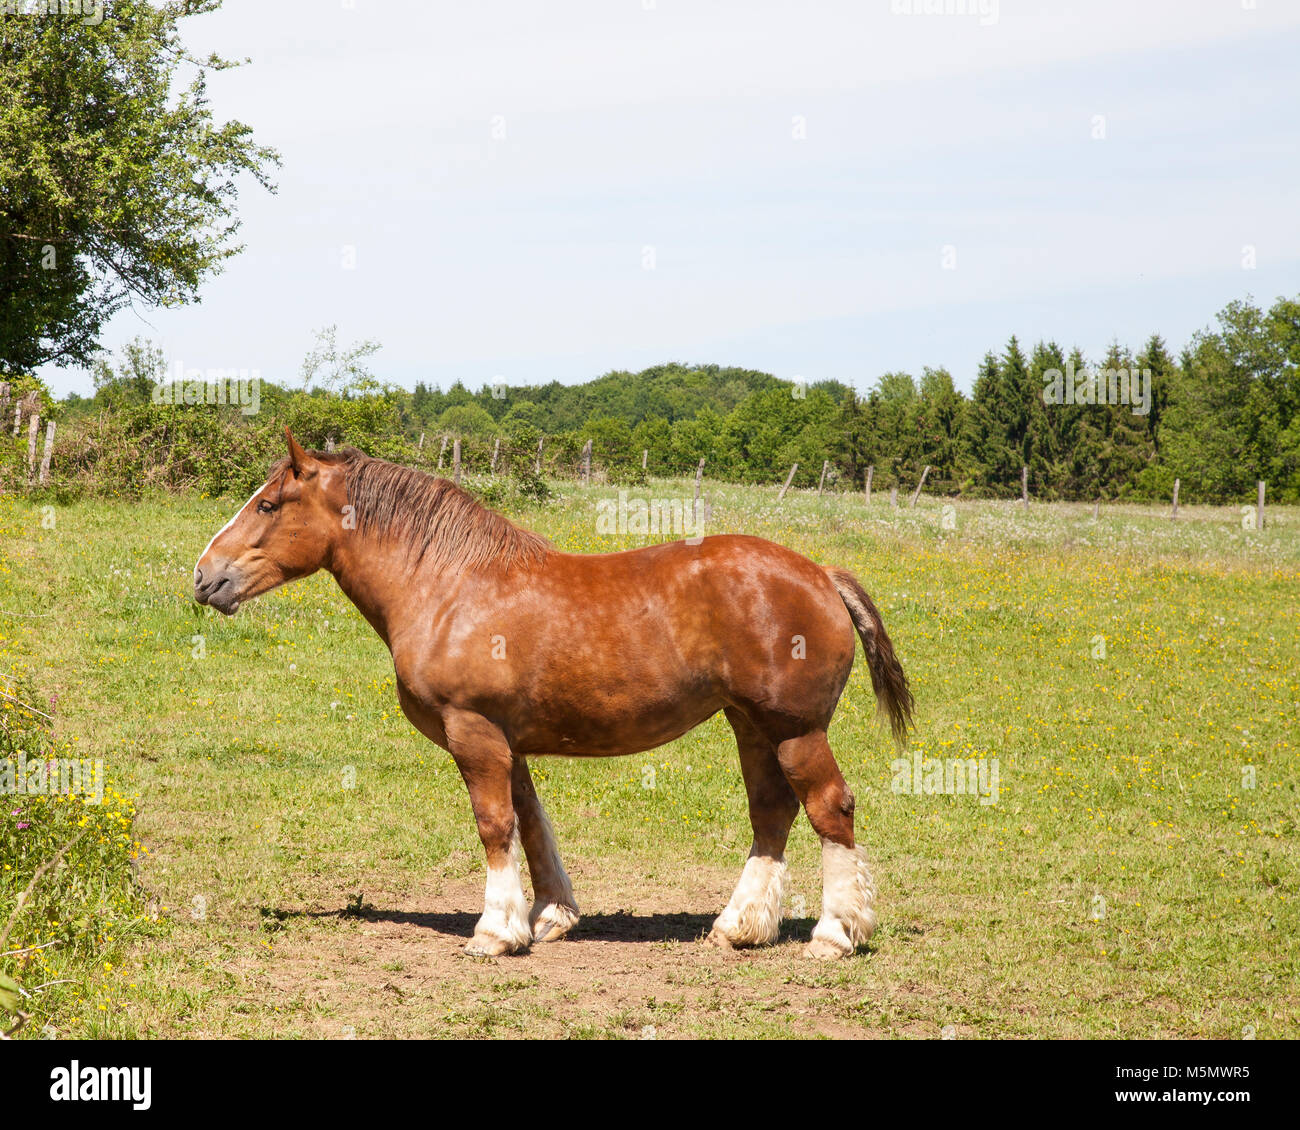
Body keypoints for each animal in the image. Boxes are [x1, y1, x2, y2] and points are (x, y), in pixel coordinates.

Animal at [195, 431, 915, 962]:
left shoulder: (474, 732)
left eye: (267, 505)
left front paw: (494, 932)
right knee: (771, 813)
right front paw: (548, 917)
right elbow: (532, 823)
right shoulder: (507, 741)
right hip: (750, 725)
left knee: (829, 809)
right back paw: (738, 927)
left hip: (795, 730)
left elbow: (495, 825)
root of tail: (820, 573)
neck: (450, 585)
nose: (205, 577)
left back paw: (834, 935)